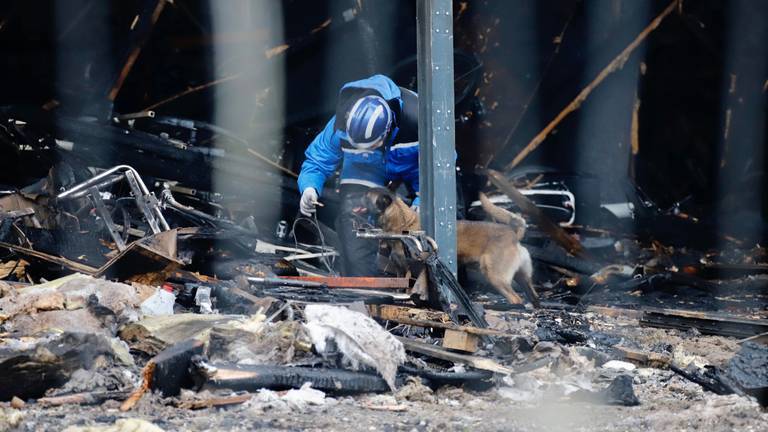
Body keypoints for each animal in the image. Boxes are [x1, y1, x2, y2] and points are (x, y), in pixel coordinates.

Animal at [356, 187, 536, 306]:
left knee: (516, 299)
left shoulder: (410, 269)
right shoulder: (400, 269)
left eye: (366, 196)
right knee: (532, 295)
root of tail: (513, 233)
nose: (354, 195)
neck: (402, 223)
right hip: (521, 277)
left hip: (494, 275)